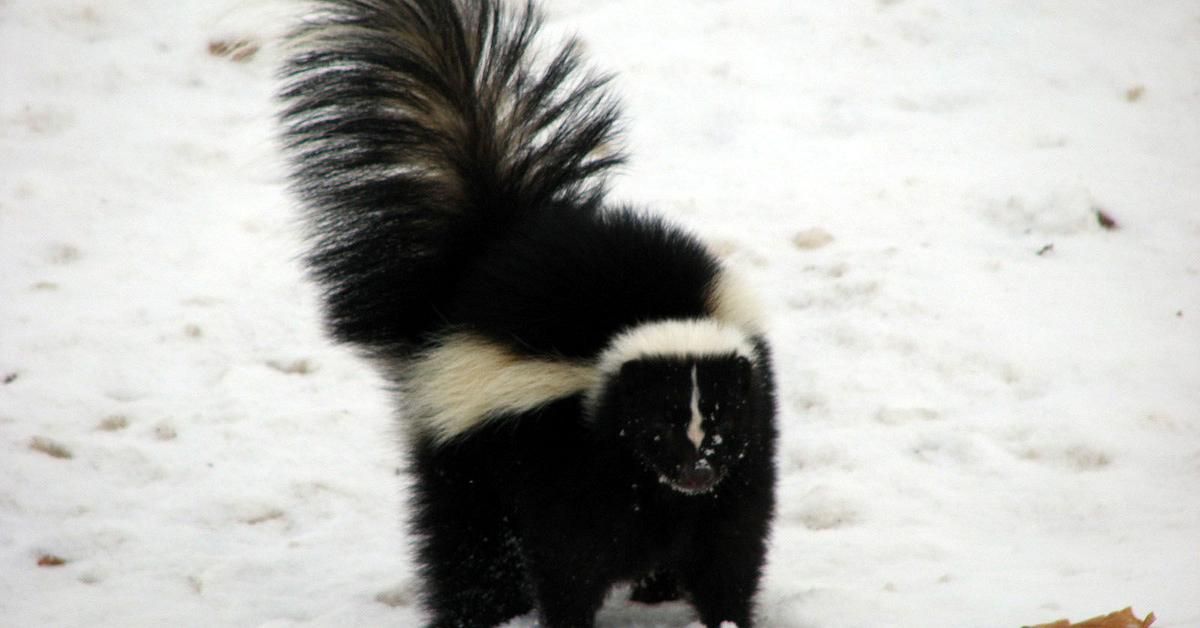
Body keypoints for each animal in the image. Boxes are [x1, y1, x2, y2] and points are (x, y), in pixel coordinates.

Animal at [279, 2, 777, 624]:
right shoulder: (559, 452)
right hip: (463, 447)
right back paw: (479, 612)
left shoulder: (750, 443)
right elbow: (570, 557)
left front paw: (726, 615)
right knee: (469, 541)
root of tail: (492, 242)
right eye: (659, 425)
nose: (698, 470)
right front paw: (569, 618)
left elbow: (729, 544)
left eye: (722, 418)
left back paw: (654, 587)